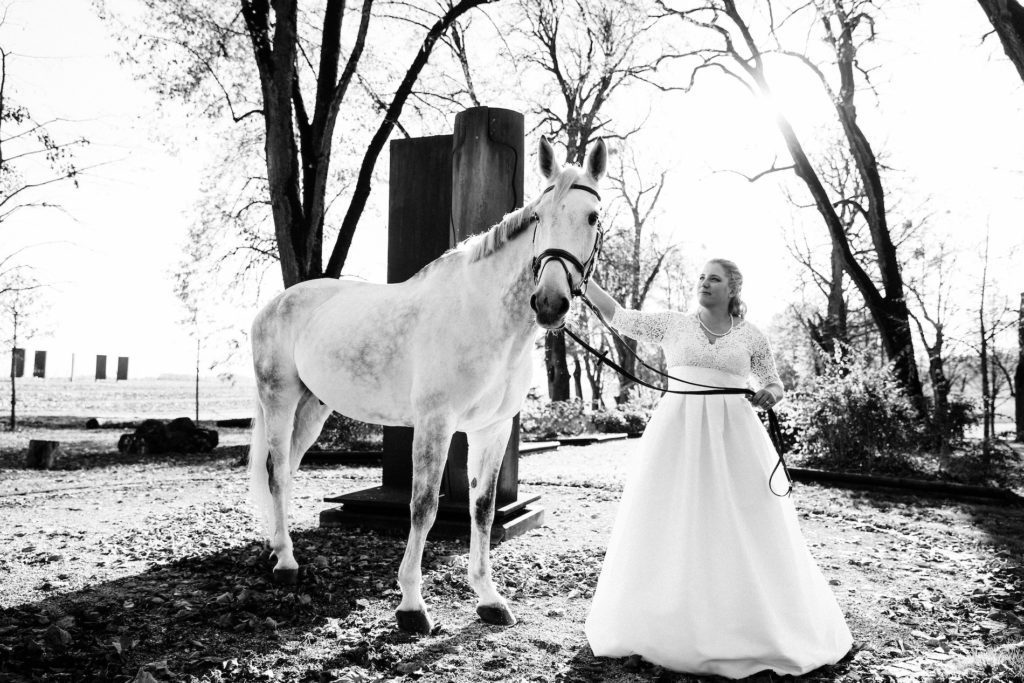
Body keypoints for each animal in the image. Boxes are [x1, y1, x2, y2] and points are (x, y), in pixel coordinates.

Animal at [246, 136, 602, 634]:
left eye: (592, 218)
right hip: (279, 401)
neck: (482, 314)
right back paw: (286, 564)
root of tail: (274, 304)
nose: (550, 302)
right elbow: (424, 506)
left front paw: (489, 598)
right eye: (539, 217)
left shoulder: (492, 429)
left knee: (285, 471)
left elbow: (483, 508)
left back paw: (278, 546)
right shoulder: (435, 424)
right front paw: (412, 605)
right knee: (277, 472)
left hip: (313, 409)